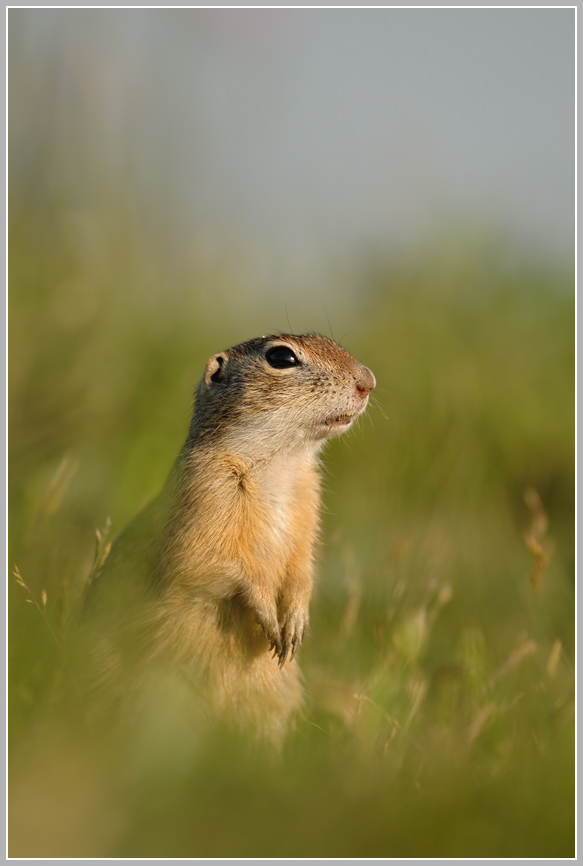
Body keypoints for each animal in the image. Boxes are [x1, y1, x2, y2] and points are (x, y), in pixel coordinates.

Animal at [88, 330, 376, 744]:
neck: (280, 462)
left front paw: (296, 623)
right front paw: (269, 617)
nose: (368, 381)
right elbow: (215, 566)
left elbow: (302, 568)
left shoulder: (308, 506)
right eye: (281, 357)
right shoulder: (208, 493)